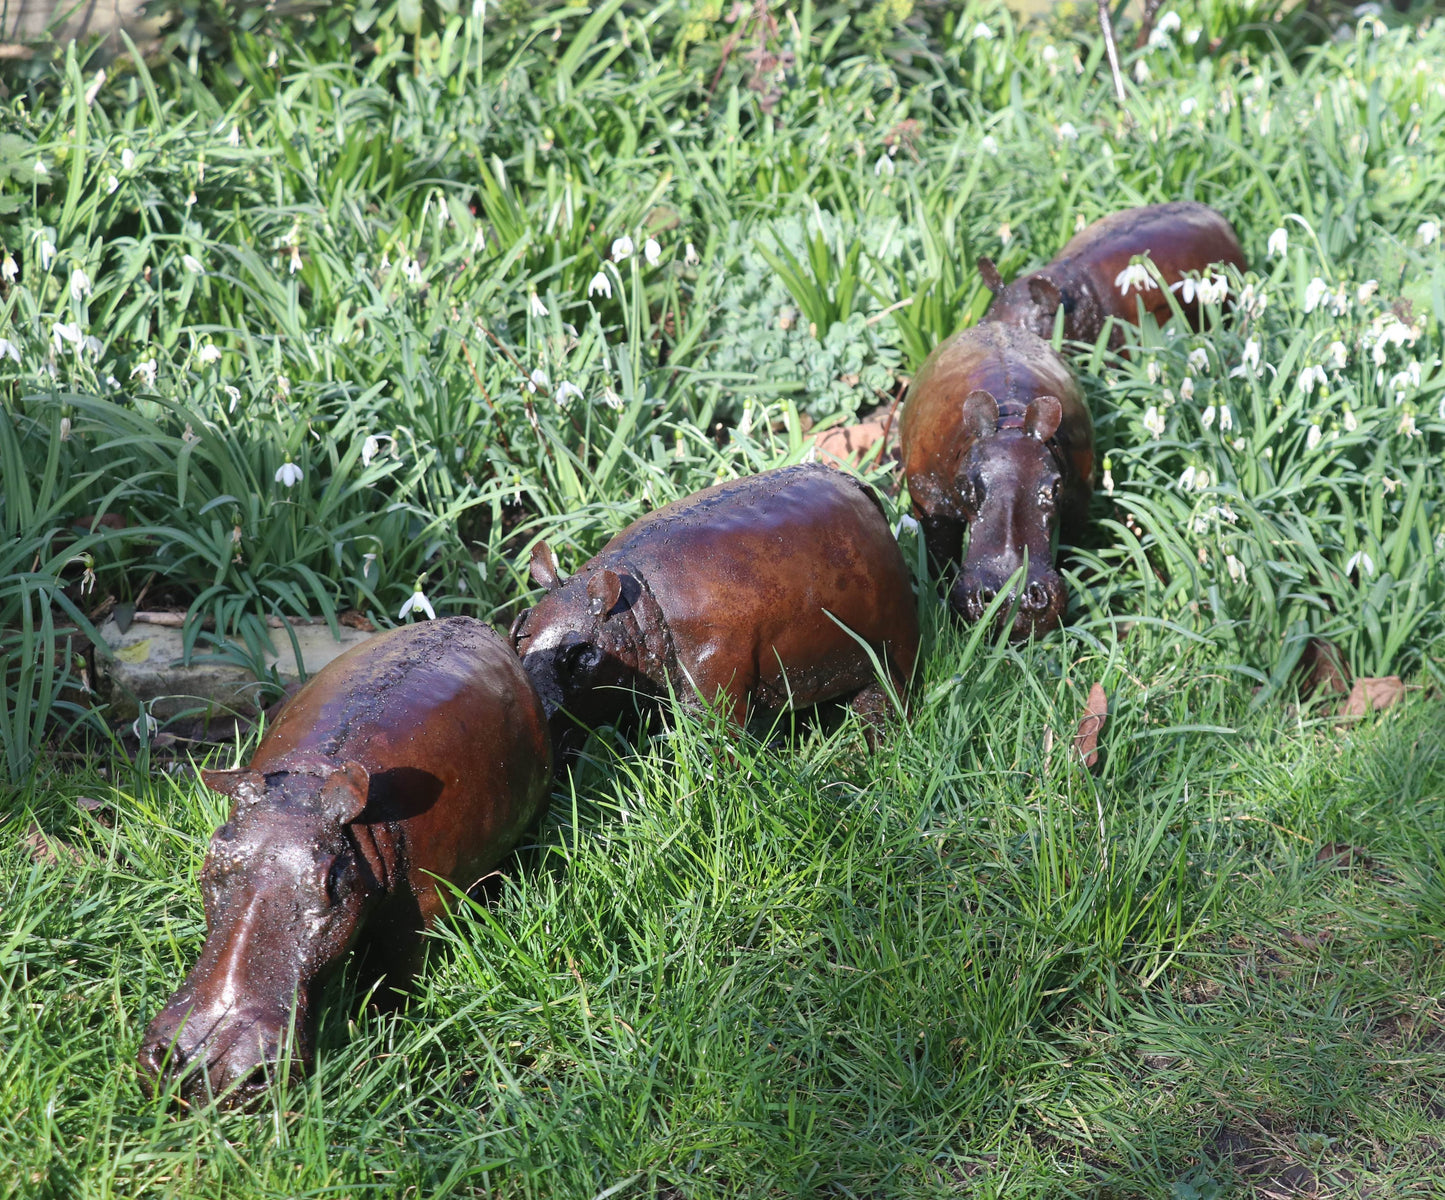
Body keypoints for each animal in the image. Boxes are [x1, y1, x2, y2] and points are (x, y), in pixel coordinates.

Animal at [138, 616, 552, 1105]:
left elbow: (398, 976)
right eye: (212, 856)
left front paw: (380, 1031)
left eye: (331, 881)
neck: (308, 785)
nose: (209, 1065)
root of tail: (488, 630)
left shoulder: (419, 912)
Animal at [510, 463, 919, 747]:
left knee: (887, 702)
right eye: (518, 630)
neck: (635, 610)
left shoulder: (715, 677)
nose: (537, 716)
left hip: (894, 648)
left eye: (579, 655)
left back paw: (876, 749)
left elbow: (719, 742)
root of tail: (857, 485)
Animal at [900, 322, 1094, 640]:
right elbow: (939, 552)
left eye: (1054, 488)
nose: (1012, 597)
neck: (1010, 421)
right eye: (966, 486)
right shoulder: (931, 501)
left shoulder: (1078, 503)